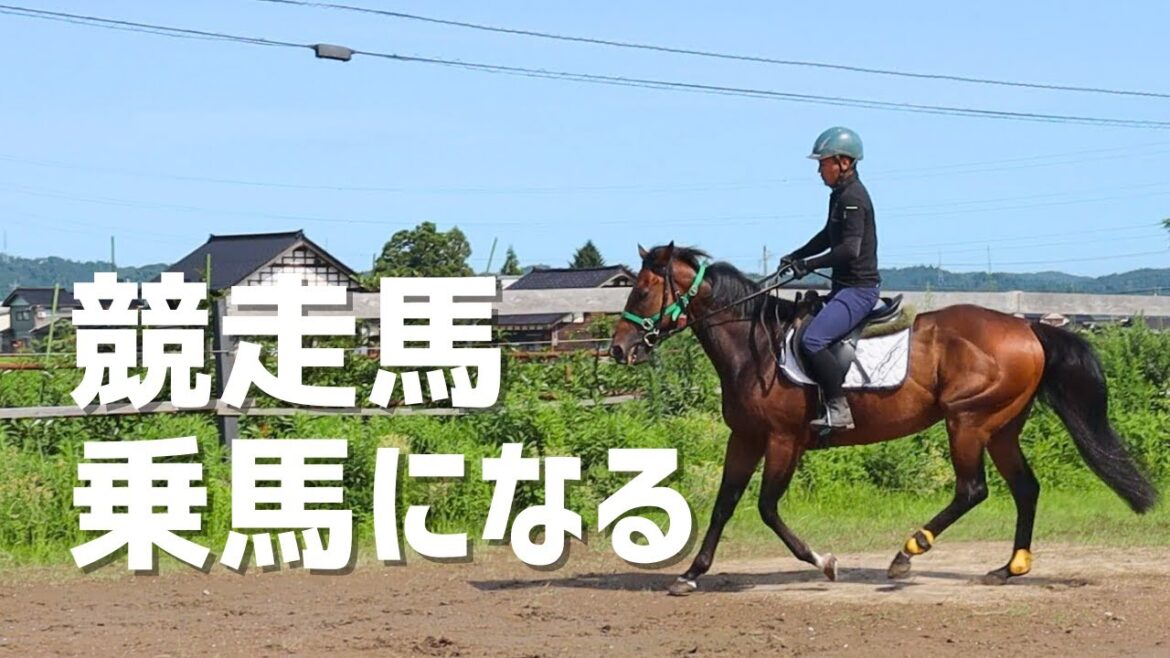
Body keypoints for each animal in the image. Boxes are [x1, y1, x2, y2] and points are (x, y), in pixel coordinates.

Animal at [608, 242, 1158, 596]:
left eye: (642, 293)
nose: (619, 350)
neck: (754, 345)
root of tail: (1028, 328)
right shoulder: (744, 438)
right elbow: (725, 504)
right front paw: (691, 574)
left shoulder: (783, 440)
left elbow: (765, 507)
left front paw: (824, 562)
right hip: (1001, 427)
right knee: (1025, 488)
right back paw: (1009, 569)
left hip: (968, 422)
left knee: (972, 489)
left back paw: (907, 554)